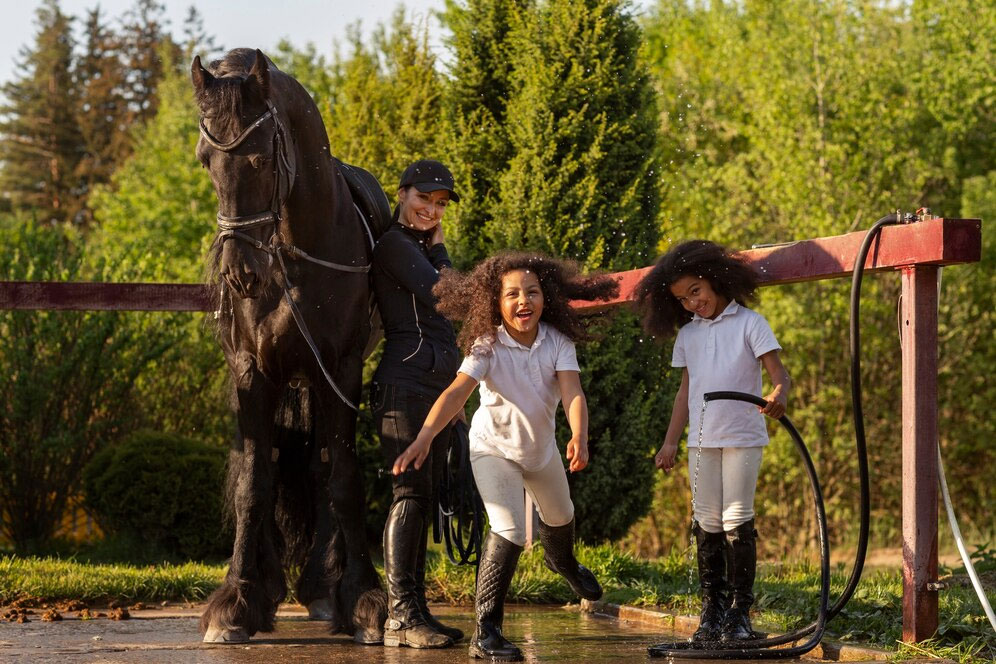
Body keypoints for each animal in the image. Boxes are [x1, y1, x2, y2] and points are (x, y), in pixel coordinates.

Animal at [192, 48, 386, 644]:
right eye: (207, 162)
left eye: (258, 161)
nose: (240, 275)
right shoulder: (253, 372)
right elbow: (255, 482)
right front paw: (236, 601)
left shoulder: (339, 371)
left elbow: (341, 477)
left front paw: (363, 598)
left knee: (323, 468)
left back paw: (323, 588)